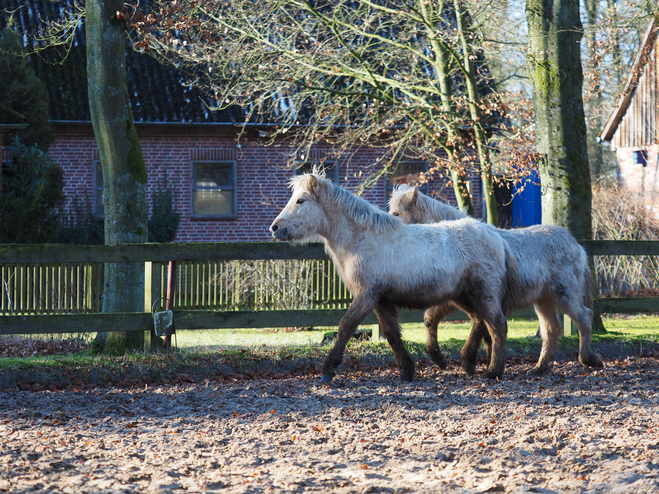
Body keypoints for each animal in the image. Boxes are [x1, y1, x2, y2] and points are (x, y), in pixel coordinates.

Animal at [270, 171, 520, 382]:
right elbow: (391, 334)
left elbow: (345, 327)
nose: (275, 228)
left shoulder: (366, 296)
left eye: (300, 200)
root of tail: (496, 236)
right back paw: (467, 363)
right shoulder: (380, 300)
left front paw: (328, 370)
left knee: (497, 326)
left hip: (483, 294)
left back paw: (493, 371)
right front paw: (407, 370)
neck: (362, 238)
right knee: (481, 322)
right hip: (465, 297)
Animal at [390, 185, 604, 374]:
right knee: (551, 330)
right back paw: (539, 368)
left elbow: (483, 329)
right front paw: (442, 358)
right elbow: (431, 319)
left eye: (396, 213)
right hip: (544, 301)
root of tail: (576, 245)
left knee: (584, 317)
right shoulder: (456, 299)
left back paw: (589, 359)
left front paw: (476, 363)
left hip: (565, 295)